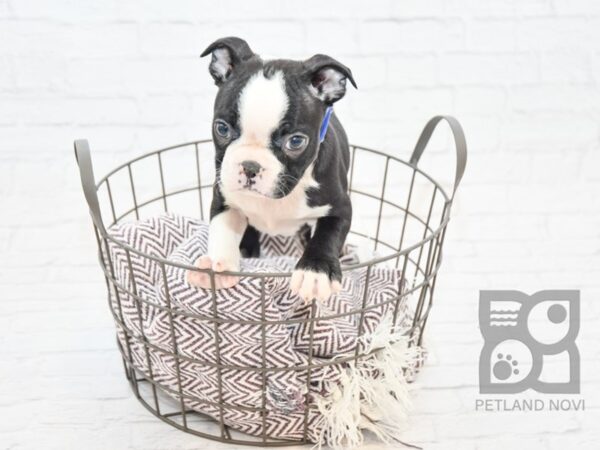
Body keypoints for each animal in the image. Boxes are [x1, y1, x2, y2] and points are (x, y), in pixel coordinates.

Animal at [189, 36, 356, 302]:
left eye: (296, 142)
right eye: (222, 128)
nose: (250, 166)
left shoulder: (340, 207)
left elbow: (327, 236)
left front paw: (315, 273)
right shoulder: (224, 197)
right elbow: (222, 228)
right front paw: (218, 265)